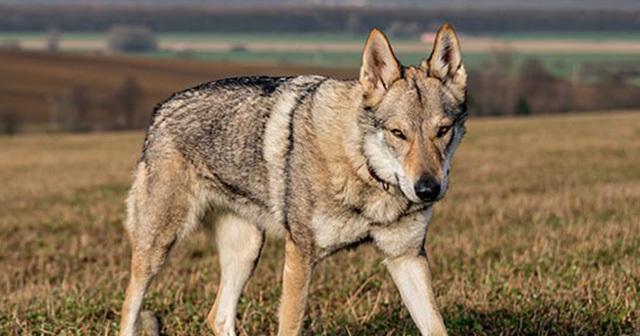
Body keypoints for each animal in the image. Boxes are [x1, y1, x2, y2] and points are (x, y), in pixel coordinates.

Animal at [120, 23, 468, 336]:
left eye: (442, 130)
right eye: (398, 133)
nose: (428, 190)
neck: (362, 168)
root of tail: (161, 110)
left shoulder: (406, 257)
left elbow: (437, 328)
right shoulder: (300, 255)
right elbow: (290, 324)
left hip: (247, 250)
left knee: (218, 316)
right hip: (156, 249)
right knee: (129, 309)